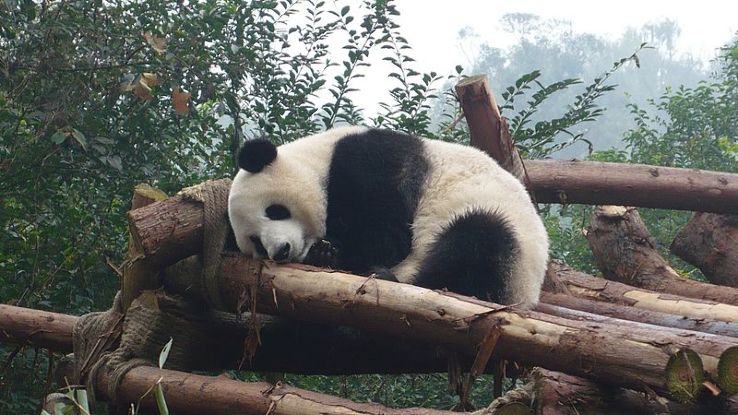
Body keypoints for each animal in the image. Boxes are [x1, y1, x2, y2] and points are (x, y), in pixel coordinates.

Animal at [227, 126, 549, 308]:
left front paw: (334, 252)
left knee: (478, 240)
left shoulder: (370, 162)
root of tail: (527, 297)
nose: (281, 251)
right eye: (256, 242)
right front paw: (323, 251)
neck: (316, 158)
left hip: (511, 252)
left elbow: (388, 237)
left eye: (274, 210)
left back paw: (391, 276)